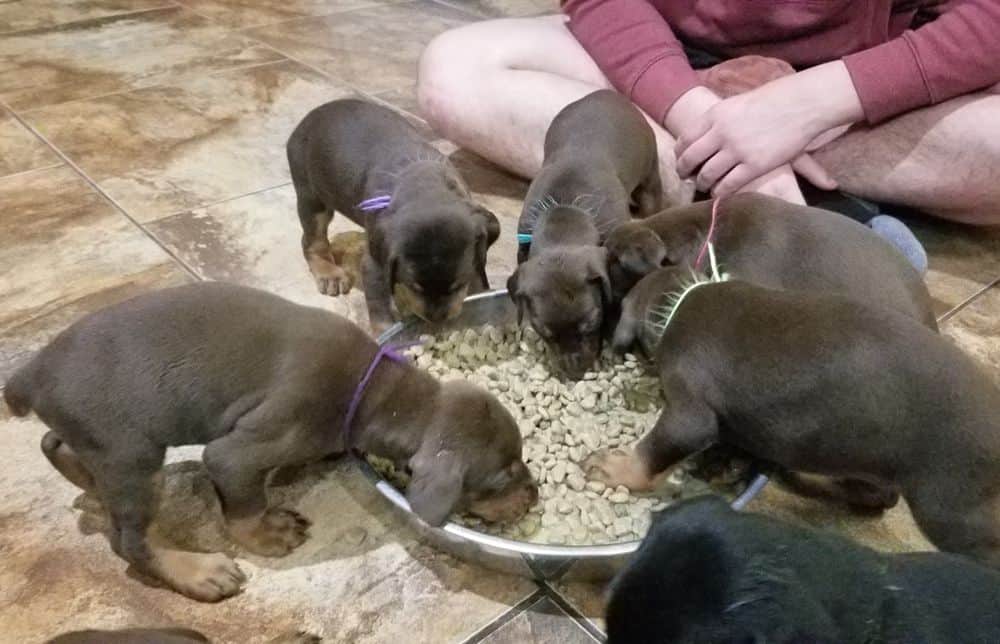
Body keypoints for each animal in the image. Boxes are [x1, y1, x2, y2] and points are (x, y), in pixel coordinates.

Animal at [5, 284, 540, 600]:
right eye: (503, 477)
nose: (534, 496)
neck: (376, 390)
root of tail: (31, 373)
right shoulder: (244, 449)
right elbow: (240, 499)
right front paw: (265, 533)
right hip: (132, 453)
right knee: (129, 542)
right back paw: (195, 571)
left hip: (101, 441)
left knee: (55, 445)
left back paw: (88, 485)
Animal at [288, 100, 498, 334]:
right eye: (415, 286)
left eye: (459, 284)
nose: (436, 320)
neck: (424, 184)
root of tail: (311, 116)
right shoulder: (375, 263)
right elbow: (380, 307)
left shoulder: (477, 254)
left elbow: (478, 279)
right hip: (310, 194)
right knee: (312, 240)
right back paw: (328, 273)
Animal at [508, 90, 664, 380]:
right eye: (545, 332)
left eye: (591, 324)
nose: (575, 373)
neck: (565, 210)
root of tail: (608, 94)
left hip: (650, 171)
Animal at [584, 280, 1000, 568]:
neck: (679, 300)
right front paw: (724, 463)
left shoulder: (690, 414)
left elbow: (653, 450)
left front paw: (616, 469)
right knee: (873, 494)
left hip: (948, 506)